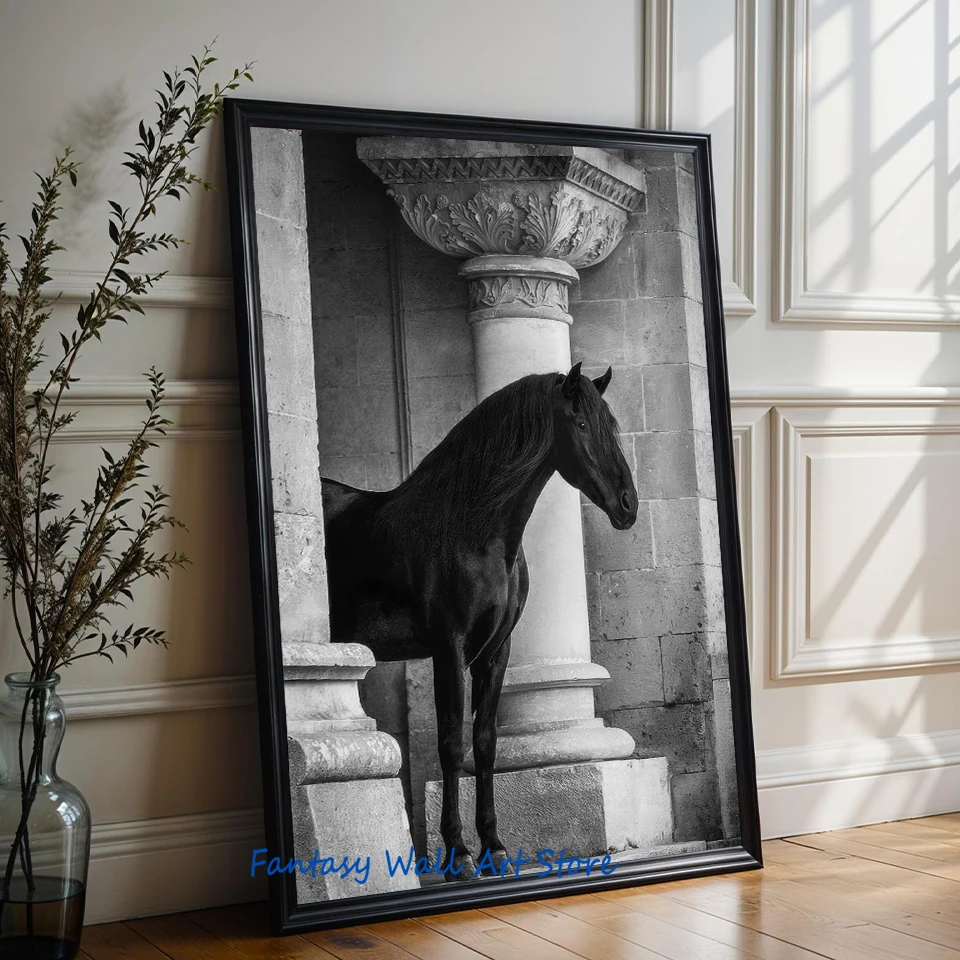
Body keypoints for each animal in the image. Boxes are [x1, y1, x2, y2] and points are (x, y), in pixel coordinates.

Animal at [320, 362, 638, 877]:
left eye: (610, 424)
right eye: (582, 423)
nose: (628, 505)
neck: (472, 531)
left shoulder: (495, 652)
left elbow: (486, 743)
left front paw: (495, 847)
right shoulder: (449, 648)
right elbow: (451, 744)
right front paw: (459, 853)